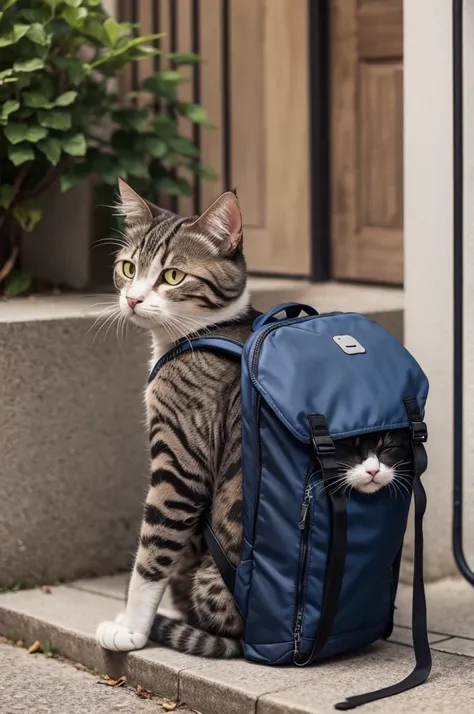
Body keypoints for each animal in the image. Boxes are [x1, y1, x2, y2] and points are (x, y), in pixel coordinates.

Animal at [95, 179, 412, 656]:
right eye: (128, 268)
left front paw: (132, 629)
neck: (201, 332)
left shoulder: (181, 457)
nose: (131, 299)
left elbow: (153, 549)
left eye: (173, 276)